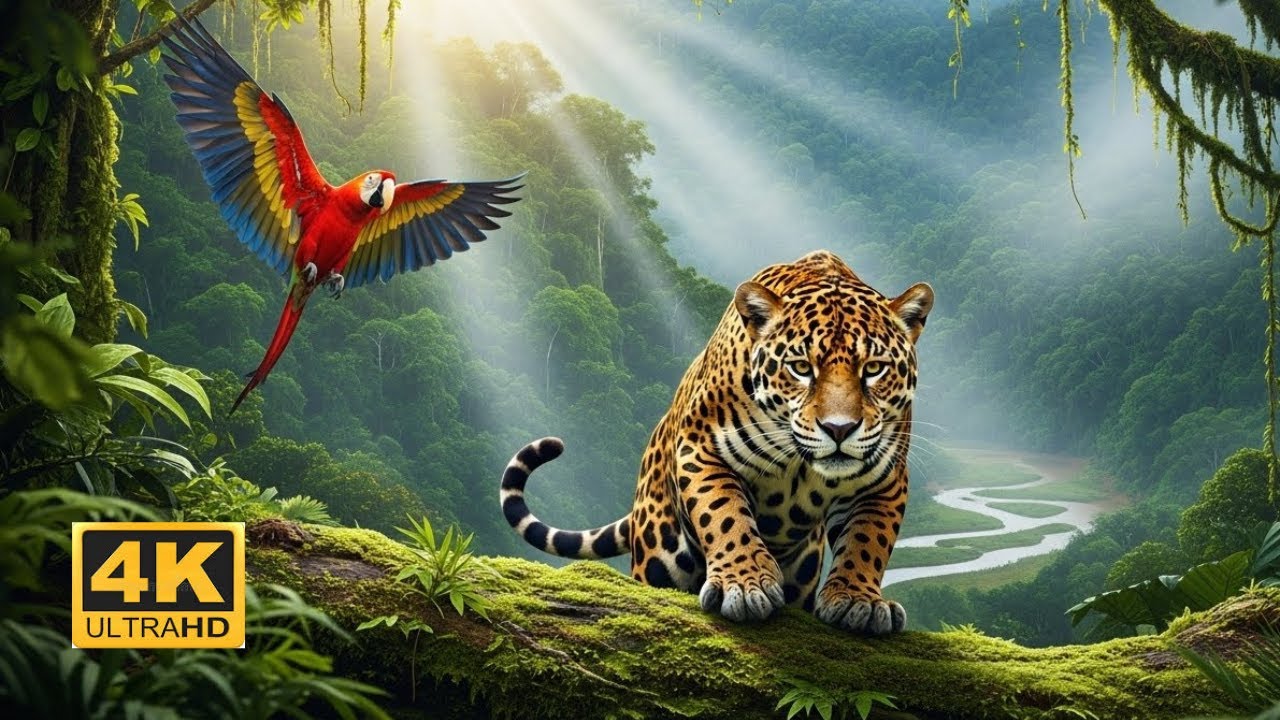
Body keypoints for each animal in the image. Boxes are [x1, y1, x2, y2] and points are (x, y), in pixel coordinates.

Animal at [499, 250, 933, 634]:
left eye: (874, 369)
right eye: (801, 367)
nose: (839, 429)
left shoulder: (885, 477)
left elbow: (868, 539)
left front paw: (859, 600)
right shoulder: (700, 448)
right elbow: (724, 513)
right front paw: (745, 584)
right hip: (658, 552)